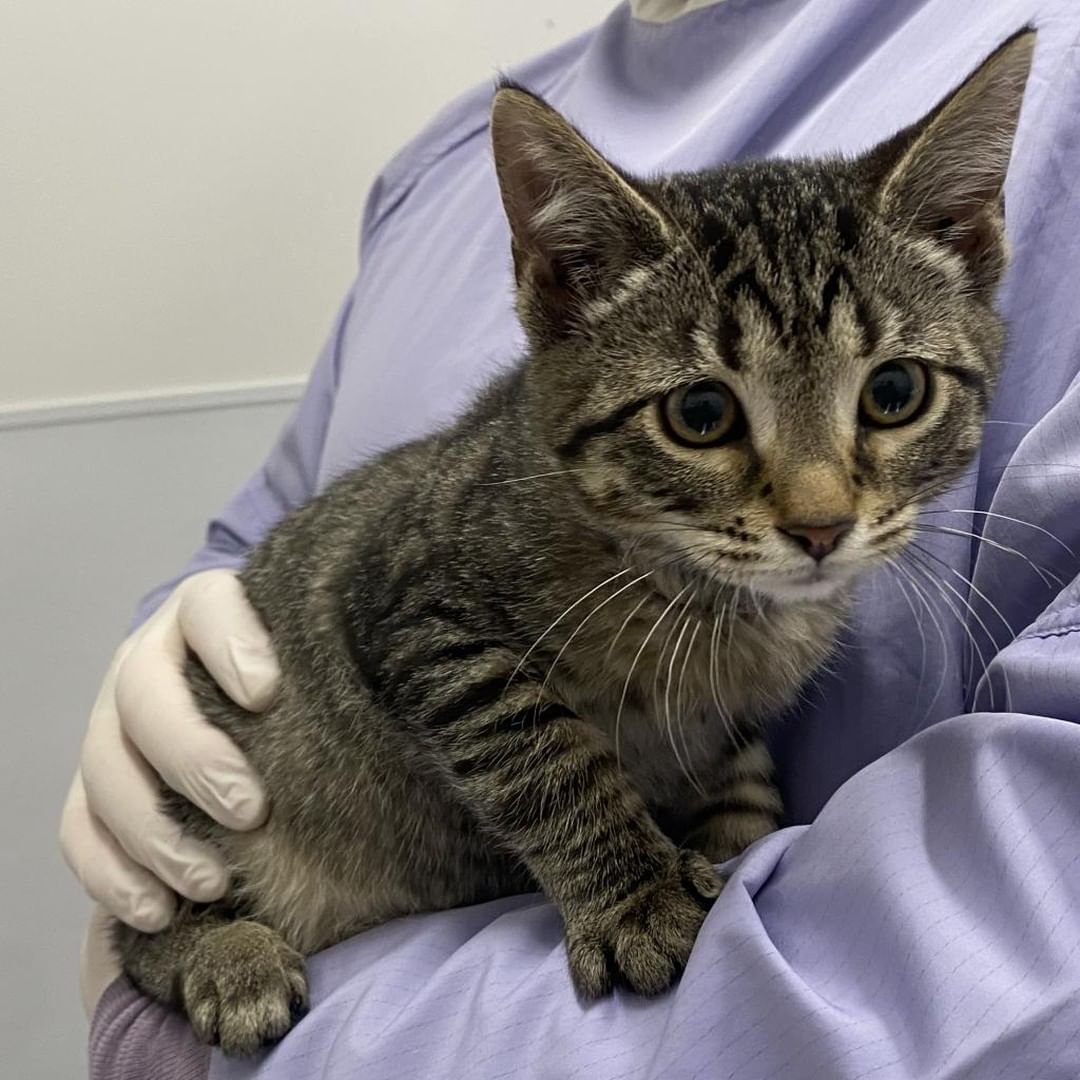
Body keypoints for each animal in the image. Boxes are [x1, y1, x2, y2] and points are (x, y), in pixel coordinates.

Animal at [113, 31, 1032, 1054]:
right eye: (700, 413)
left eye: (895, 393)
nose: (821, 525)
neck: (699, 593)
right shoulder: (413, 612)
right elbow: (548, 756)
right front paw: (637, 898)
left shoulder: (728, 712)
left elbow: (742, 774)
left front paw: (735, 841)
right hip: (198, 786)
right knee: (140, 920)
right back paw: (228, 956)